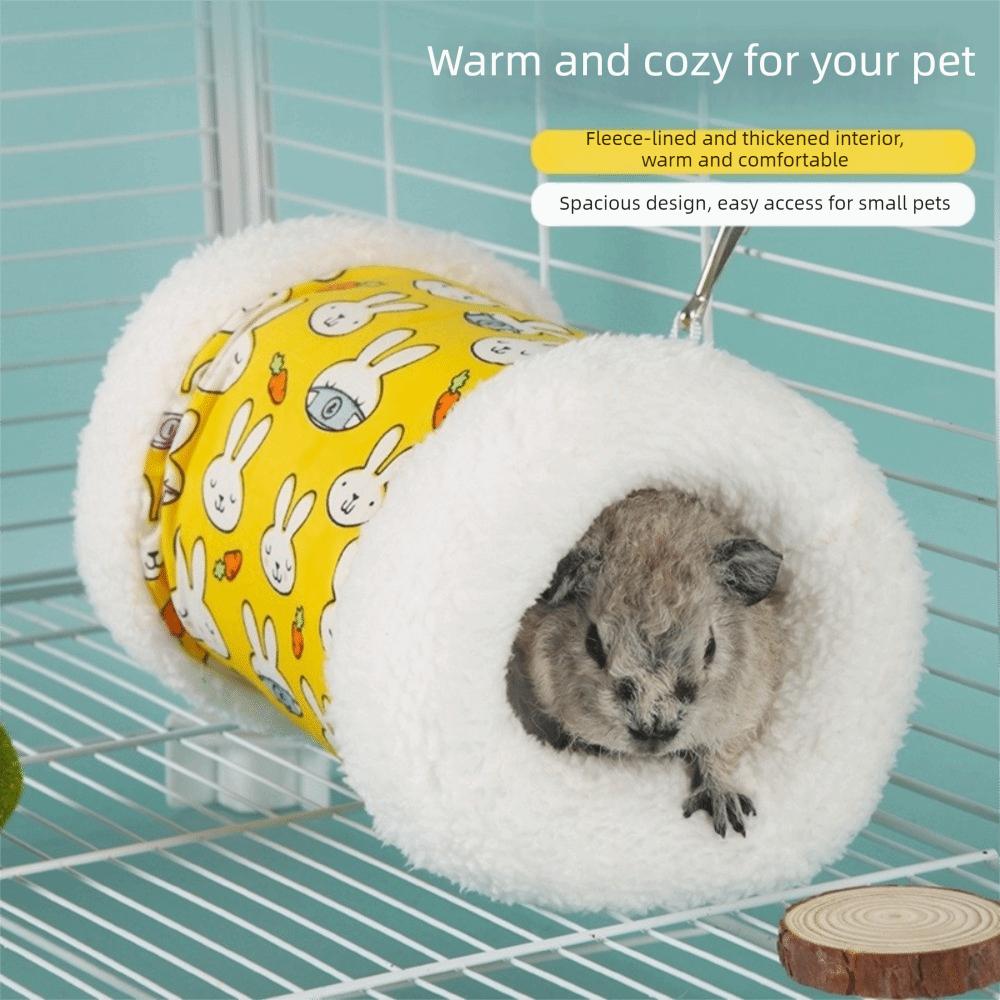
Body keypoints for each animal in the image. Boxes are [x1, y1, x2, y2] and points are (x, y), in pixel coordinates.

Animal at [506, 488, 786, 837]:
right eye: (592, 643)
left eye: (711, 646)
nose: (654, 730)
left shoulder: (747, 709)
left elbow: (718, 754)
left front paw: (728, 812)